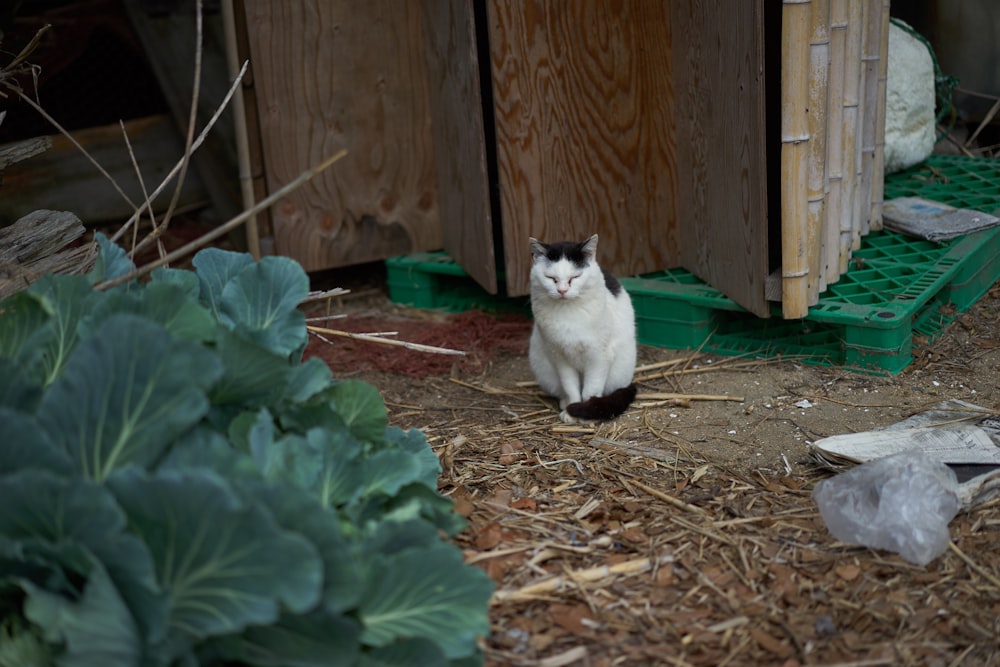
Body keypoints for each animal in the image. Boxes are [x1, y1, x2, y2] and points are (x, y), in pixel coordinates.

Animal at [528, 235, 636, 422]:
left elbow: (591, 389)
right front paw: (571, 411)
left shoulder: (599, 357)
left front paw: (585, 413)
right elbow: (571, 387)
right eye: (551, 278)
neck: (569, 314)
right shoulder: (560, 358)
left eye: (575, 277)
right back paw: (565, 403)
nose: (562, 290)